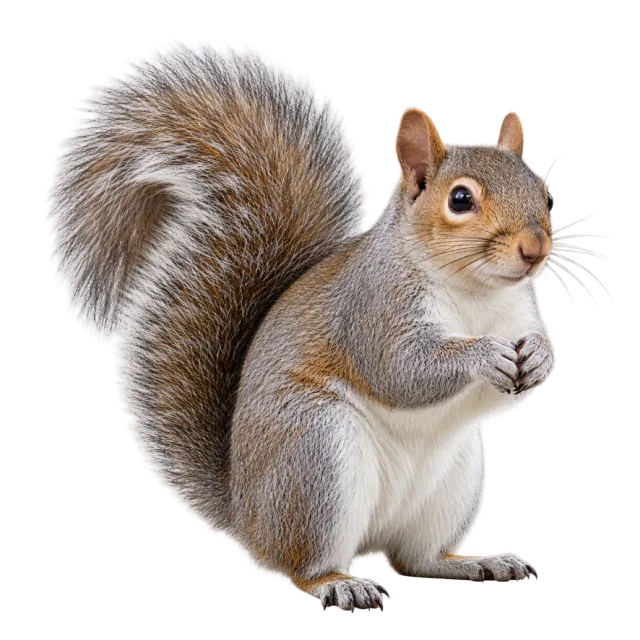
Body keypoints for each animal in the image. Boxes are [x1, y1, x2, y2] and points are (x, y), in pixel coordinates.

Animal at [46, 41, 554, 610]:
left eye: (545, 194)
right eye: (460, 199)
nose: (535, 251)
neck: (474, 293)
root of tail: (246, 513)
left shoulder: (514, 313)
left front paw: (540, 354)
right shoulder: (372, 309)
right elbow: (401, 370)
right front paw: (482, 353)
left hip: (454, 480)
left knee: (417, 558)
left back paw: (475, 561)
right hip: (316, 457)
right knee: (304, 563)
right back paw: (339, 583)